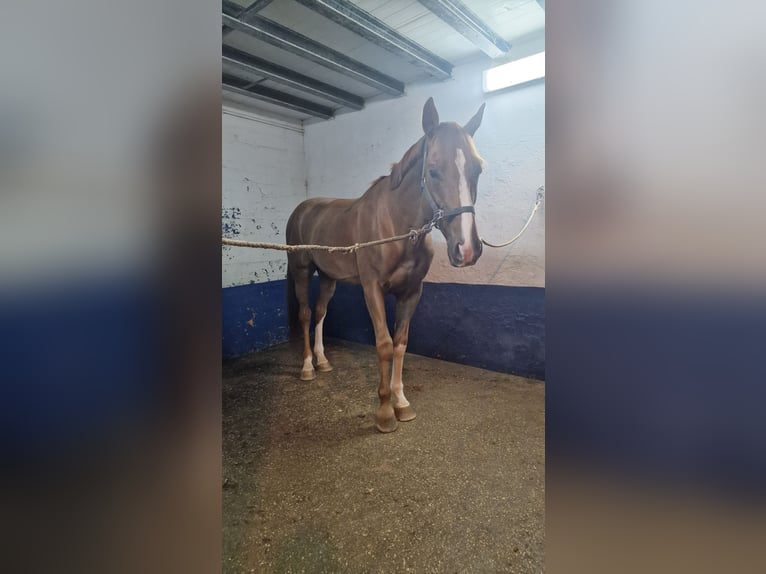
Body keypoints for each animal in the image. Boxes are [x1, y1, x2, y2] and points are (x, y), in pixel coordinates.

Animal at [286, 97, 486, 433]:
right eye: (432, 171)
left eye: (478, 169)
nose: (467, 248)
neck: (397, 226)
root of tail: (302, 208)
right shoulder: (372, 289)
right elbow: (384, 345)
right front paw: (383, 412)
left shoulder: (411, 292)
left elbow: (401, 344)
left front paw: (401, 403)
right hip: (302, 271)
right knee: (304, 314)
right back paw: (307, 367)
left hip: (328, 277)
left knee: (320, 311)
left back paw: (322, 361)